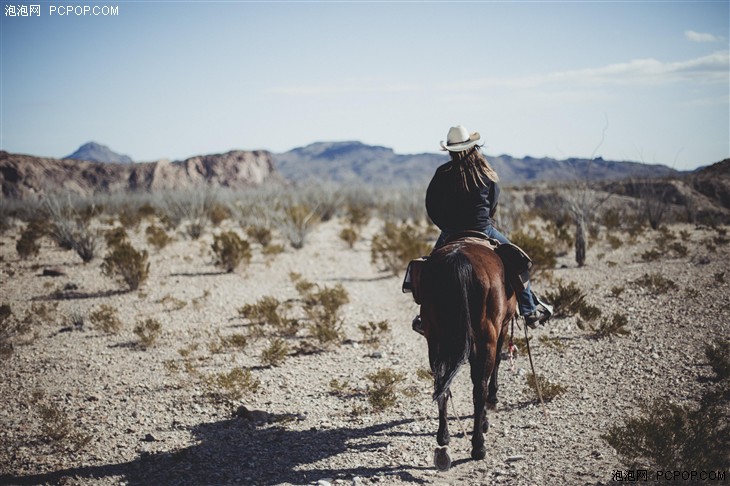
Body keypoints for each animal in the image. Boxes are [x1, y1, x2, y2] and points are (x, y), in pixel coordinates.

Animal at [418, 239, 516, 468]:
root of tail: (459, 259)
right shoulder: (502, 328)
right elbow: (495, 367)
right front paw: (491, 405)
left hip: (435, 338)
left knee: (441, 383)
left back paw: (443, 436)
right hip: (487, 335)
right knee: (479, 388)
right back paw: (478, 446)